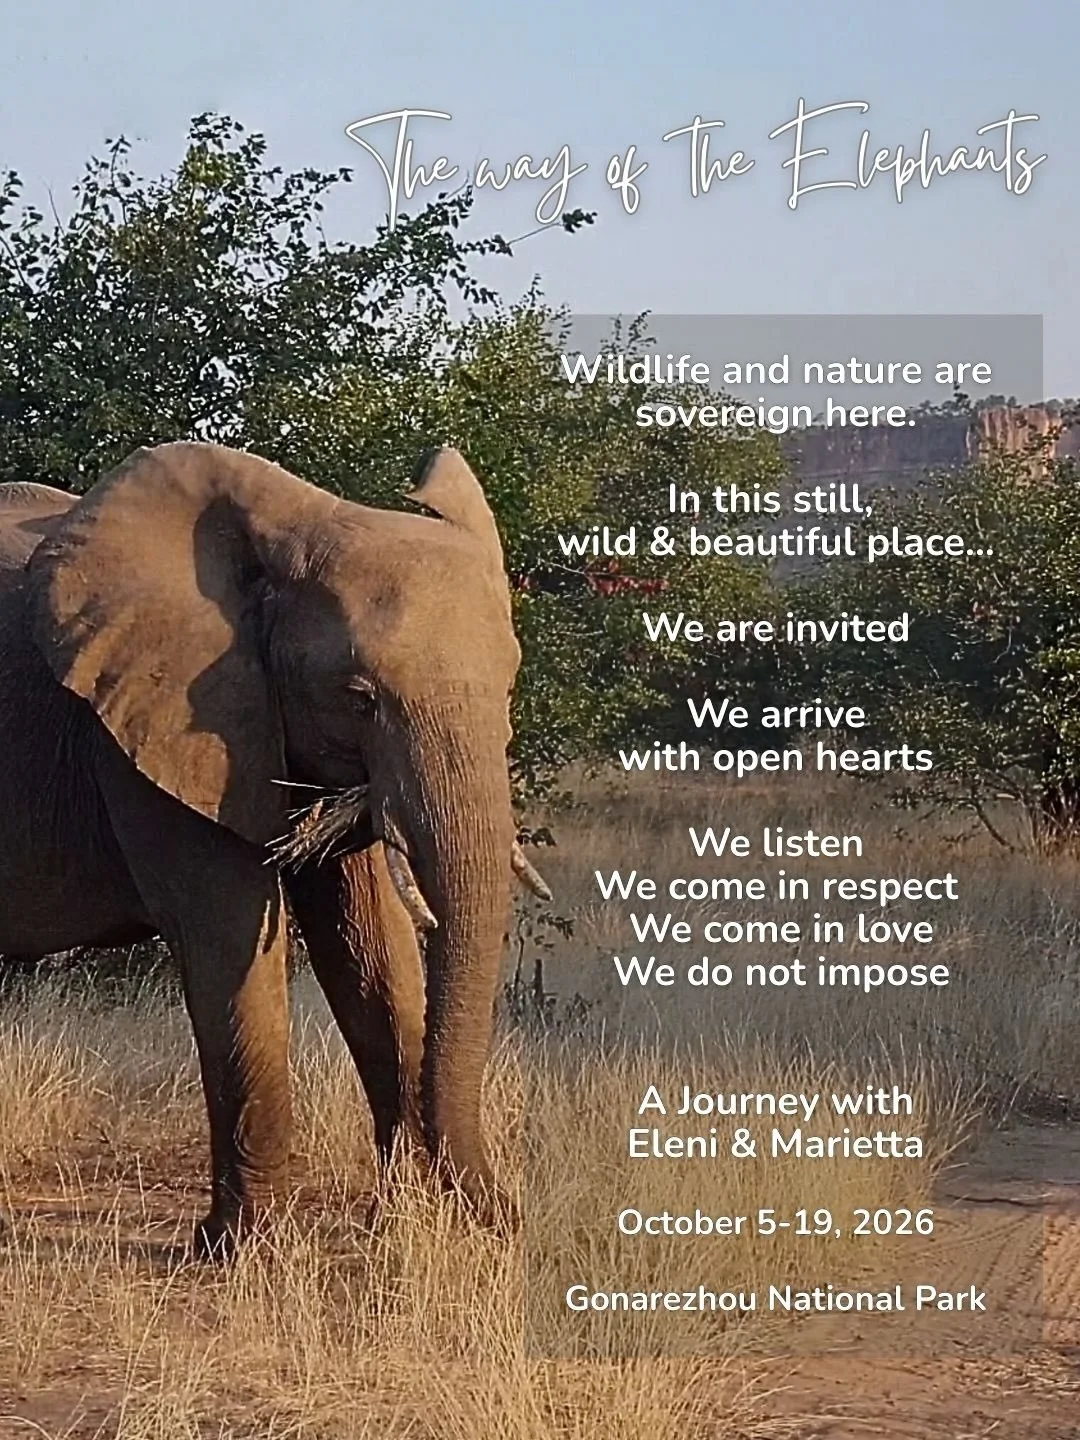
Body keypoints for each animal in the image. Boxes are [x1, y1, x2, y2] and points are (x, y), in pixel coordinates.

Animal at [0, 441, 549, 1255]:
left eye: (509, 684)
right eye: (359, 697)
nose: (511, 1218)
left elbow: (368, 943)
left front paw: (405, 1218)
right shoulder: (149, 729)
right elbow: (229, 936)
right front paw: (242, 1248)